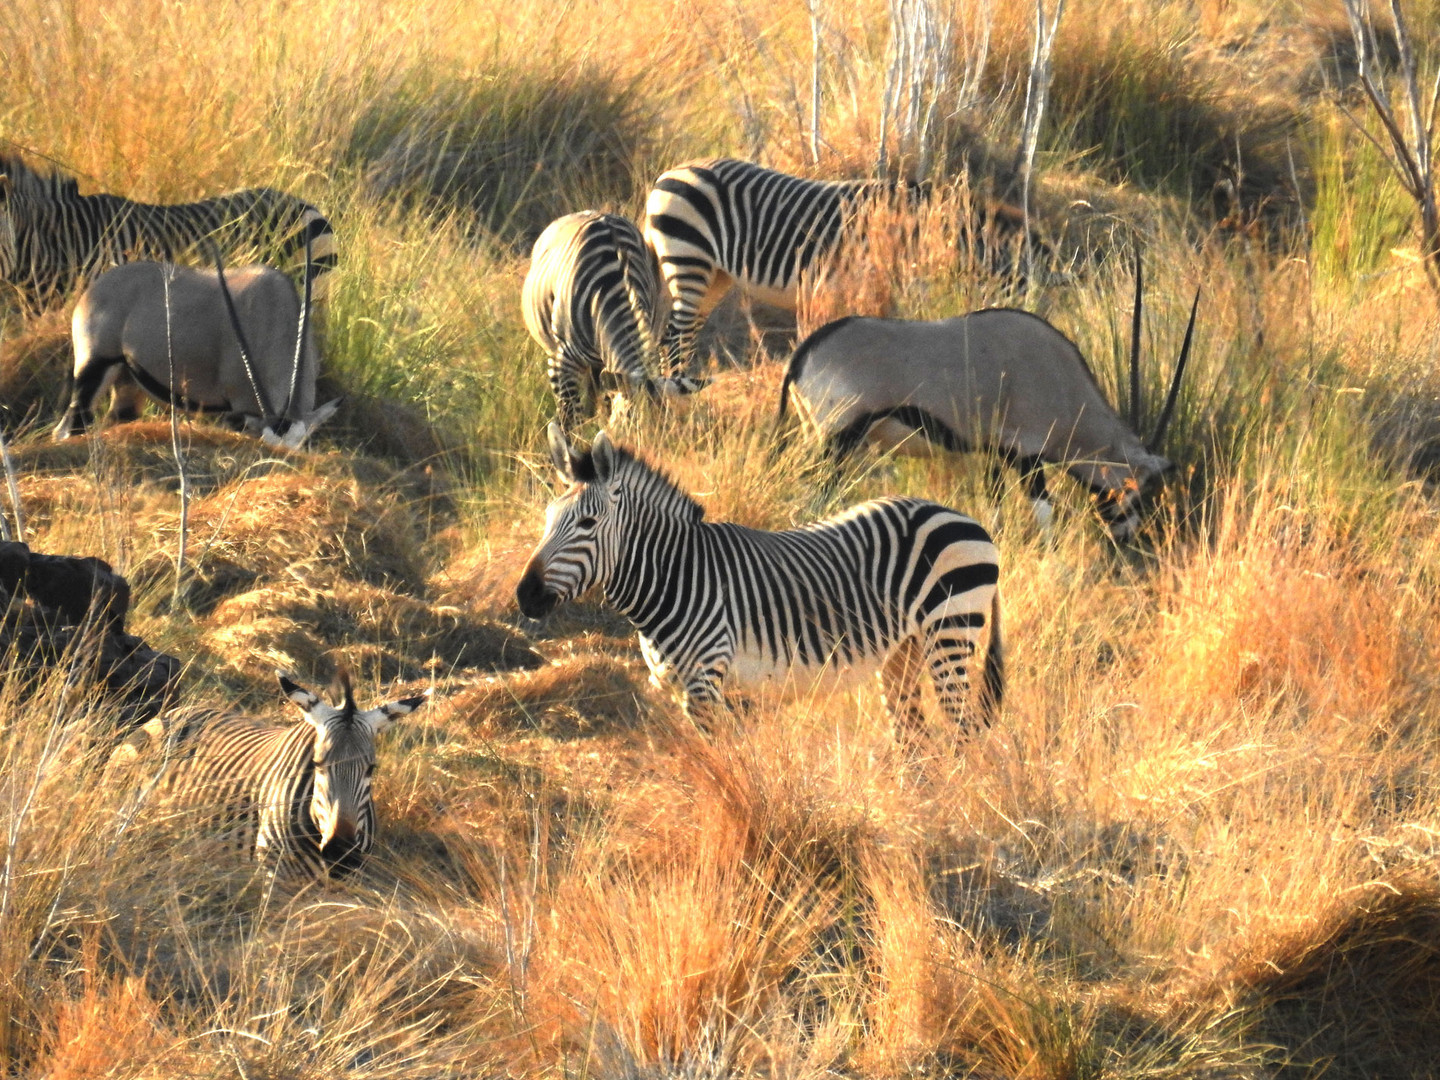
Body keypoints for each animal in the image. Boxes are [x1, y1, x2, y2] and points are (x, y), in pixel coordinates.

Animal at [515, 426, 1002, 743]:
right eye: (548, 516)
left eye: (587, 523)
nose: (525, 596)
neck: (676, 574)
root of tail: (968, 519)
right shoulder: (678, 687)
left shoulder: (705, 682)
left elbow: (715, 767)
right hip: (905, 650)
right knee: (917, 741)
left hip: (950, 632)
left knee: (963, 734)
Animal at [645, 154, 1036, 371]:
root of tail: (666, 175)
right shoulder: (882, 282)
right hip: (688, 258)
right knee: (673, 338)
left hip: (715, 274)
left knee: (683, 335)